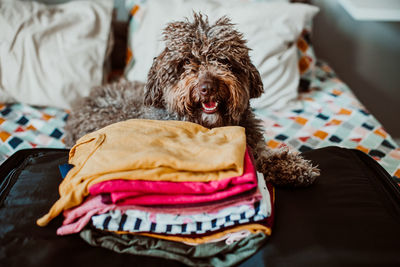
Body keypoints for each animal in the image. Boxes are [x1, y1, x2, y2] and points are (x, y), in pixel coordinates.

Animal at [64, 13, 318, 188]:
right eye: (186, 62)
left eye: (223, 60)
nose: (207, 88)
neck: (210, 126)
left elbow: (265, 154)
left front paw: (294, 166)